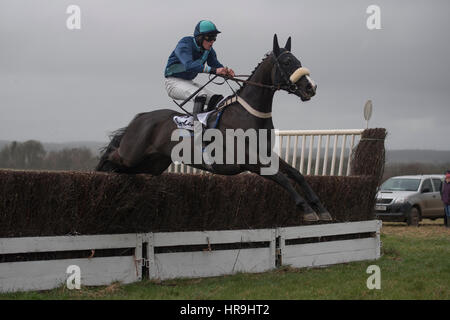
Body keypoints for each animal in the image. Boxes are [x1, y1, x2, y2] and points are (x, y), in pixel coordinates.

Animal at [96, 35, 334, 222]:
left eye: (298, 60)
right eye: (286, 61)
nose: (310, 87)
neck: (250, 115)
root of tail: (142, 116)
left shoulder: (265, 154)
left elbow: (296, 173)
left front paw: (321, 207)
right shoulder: (248, 159)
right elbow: (281, 177)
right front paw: (306, 209)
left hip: (153, 164)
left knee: (123, 167)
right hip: (132, 154)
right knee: (111, 154)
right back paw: (100, 171)